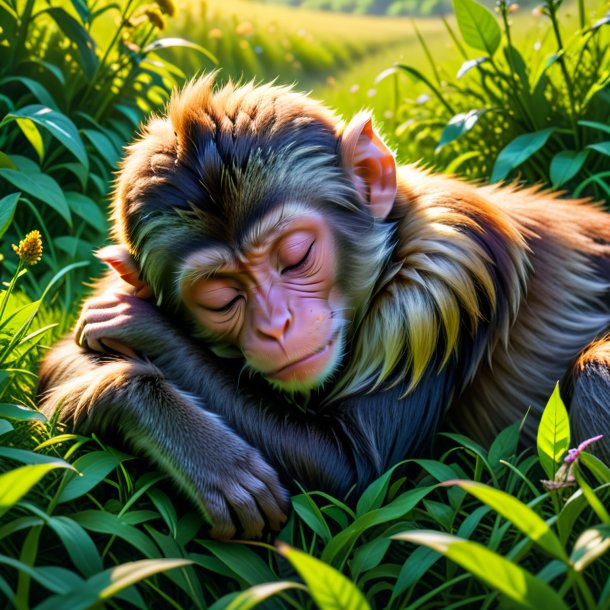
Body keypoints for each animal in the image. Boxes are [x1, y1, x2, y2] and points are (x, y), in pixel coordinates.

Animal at [36, 75, 608, 536]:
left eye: (297, 257)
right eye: (222, 297)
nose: (277, 326)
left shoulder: (448, 281)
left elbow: (354, 472)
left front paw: (142, 333)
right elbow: (55, 363)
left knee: (594, 371)